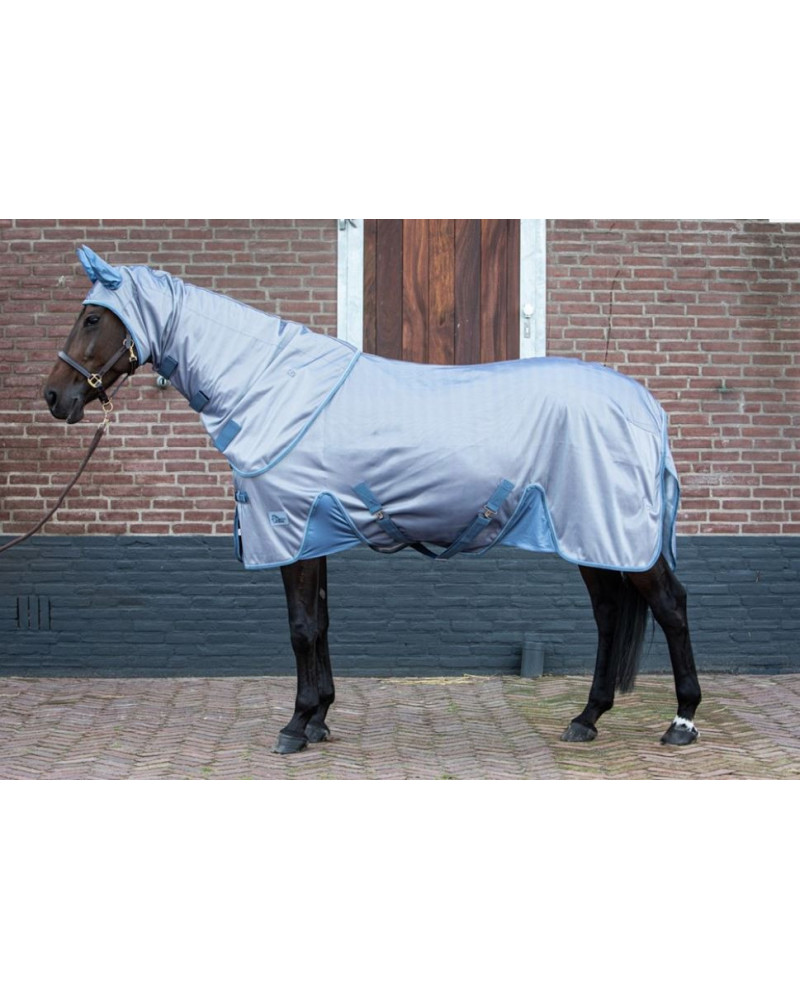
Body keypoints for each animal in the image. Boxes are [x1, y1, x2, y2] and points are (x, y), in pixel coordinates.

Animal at [42, 246, 701, 753]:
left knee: (670, 607)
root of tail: (644, 405)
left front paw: (295, 725)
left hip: (613, 532)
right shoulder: (315, 535)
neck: (271, 387)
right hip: (592, 536)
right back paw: (586, 719)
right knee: (610, 616)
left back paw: (682, 721)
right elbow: (322, 624)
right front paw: (320, 717)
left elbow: (301, 629)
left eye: (94, 318)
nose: (55, 396)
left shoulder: (292, 529)